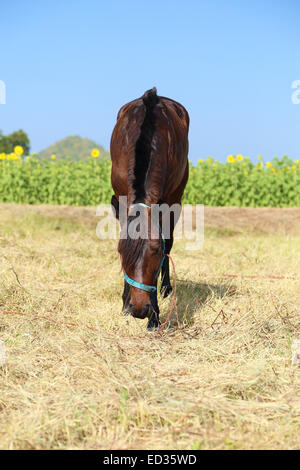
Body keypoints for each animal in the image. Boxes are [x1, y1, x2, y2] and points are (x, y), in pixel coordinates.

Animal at [110, 89, 190, 330]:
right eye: (120, 252)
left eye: (155, 251)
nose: (138, 309)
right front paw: (124, 303)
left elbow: (166, 244)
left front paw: (154, 317)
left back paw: (166, 288)